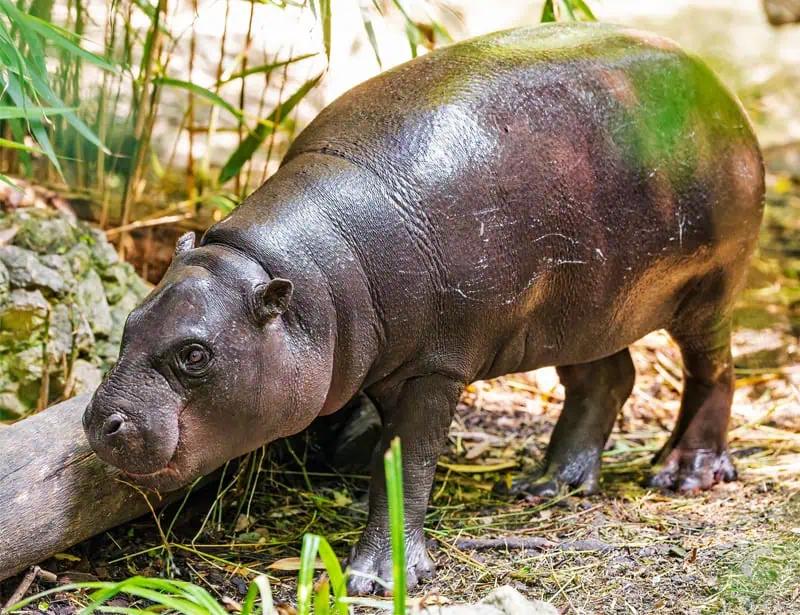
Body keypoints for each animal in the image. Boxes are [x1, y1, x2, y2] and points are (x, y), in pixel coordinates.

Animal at [83, 22, 764, 594]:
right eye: (130, 321)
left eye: (195, 355)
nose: (100, 421)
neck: (312, 274)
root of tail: (716, 84)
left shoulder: (434, 367)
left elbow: (405, 465)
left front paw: (372, 578)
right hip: (577, 311)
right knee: (607, 377)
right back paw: (545, 486)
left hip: (706, 291)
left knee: (713, 372)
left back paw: (683, 473)